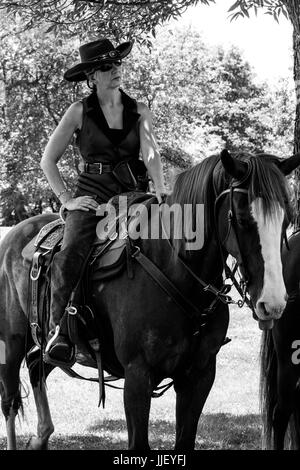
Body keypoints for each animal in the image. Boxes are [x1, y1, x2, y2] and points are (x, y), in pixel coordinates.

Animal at [0, 150, 300, 448]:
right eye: (242, 218)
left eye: (286, 219)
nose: (273, 303)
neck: (174, 268)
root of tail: (16, 233)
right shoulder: (137, 377)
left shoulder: (199, 376)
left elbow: (185, 440)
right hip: (11, 342)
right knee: (10, 400)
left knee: (36, 366)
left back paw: (41, 436)